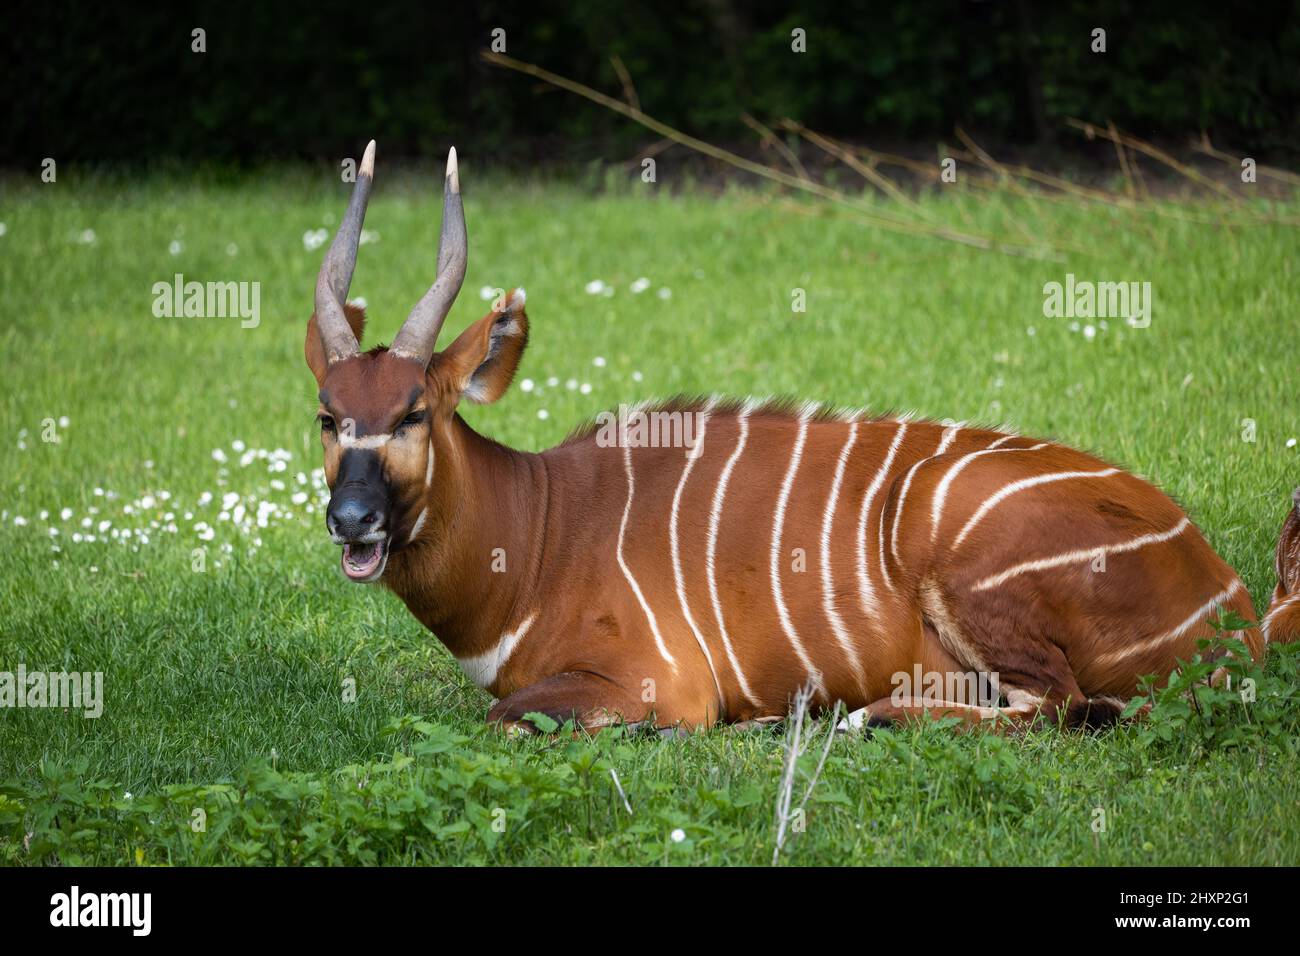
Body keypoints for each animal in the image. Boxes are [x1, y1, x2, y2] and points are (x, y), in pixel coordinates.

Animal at [306, 141, 1289, 738]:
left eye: (415, 412)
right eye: (326, 413)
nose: (351, 518)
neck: (538, 535)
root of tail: (1234, 613)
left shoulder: (656, 684)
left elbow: (504, 718)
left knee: (1060, 707)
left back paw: (859, 719)